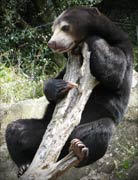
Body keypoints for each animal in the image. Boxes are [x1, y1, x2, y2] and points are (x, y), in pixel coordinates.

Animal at [5, 6, 134, 177]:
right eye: (53, 29)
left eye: (65, 27)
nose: (52, 43)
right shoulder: (68, 65)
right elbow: (56, 81)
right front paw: (60, 86)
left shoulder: (123, 48)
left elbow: (114, 72)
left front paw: (94, 40)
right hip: (41, 131)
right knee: (16, 129)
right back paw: (23, 165)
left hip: (94, 121)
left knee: (100, 130)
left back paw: (79, 150)